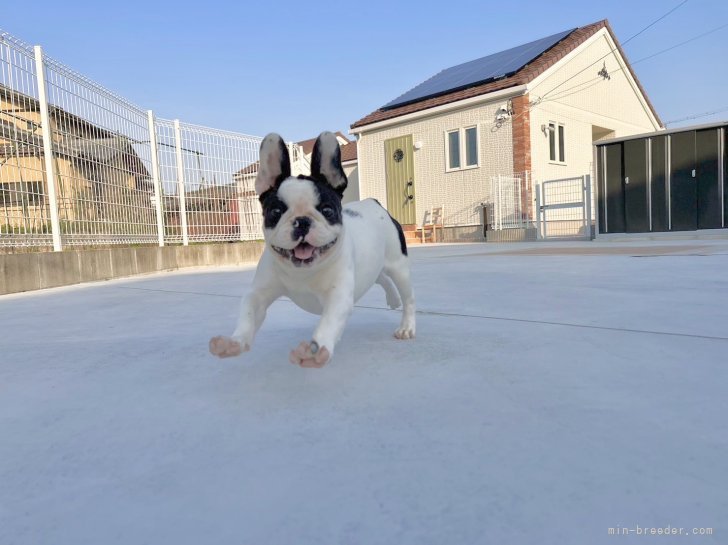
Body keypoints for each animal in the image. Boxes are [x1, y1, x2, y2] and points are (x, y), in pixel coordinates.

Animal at [210, 131, 416, 368]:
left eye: (327, 210)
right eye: (275, 212)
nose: (302, 221)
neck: (302, 271)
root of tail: (374, 203)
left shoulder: (338, 297)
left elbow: (328, 322)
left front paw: (315, 350)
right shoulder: (258, 295)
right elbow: (248, 314)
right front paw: (234, 342)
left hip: (399, 267)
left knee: (407, 297)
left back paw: (406, 326)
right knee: (381, 277)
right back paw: (393, 299)